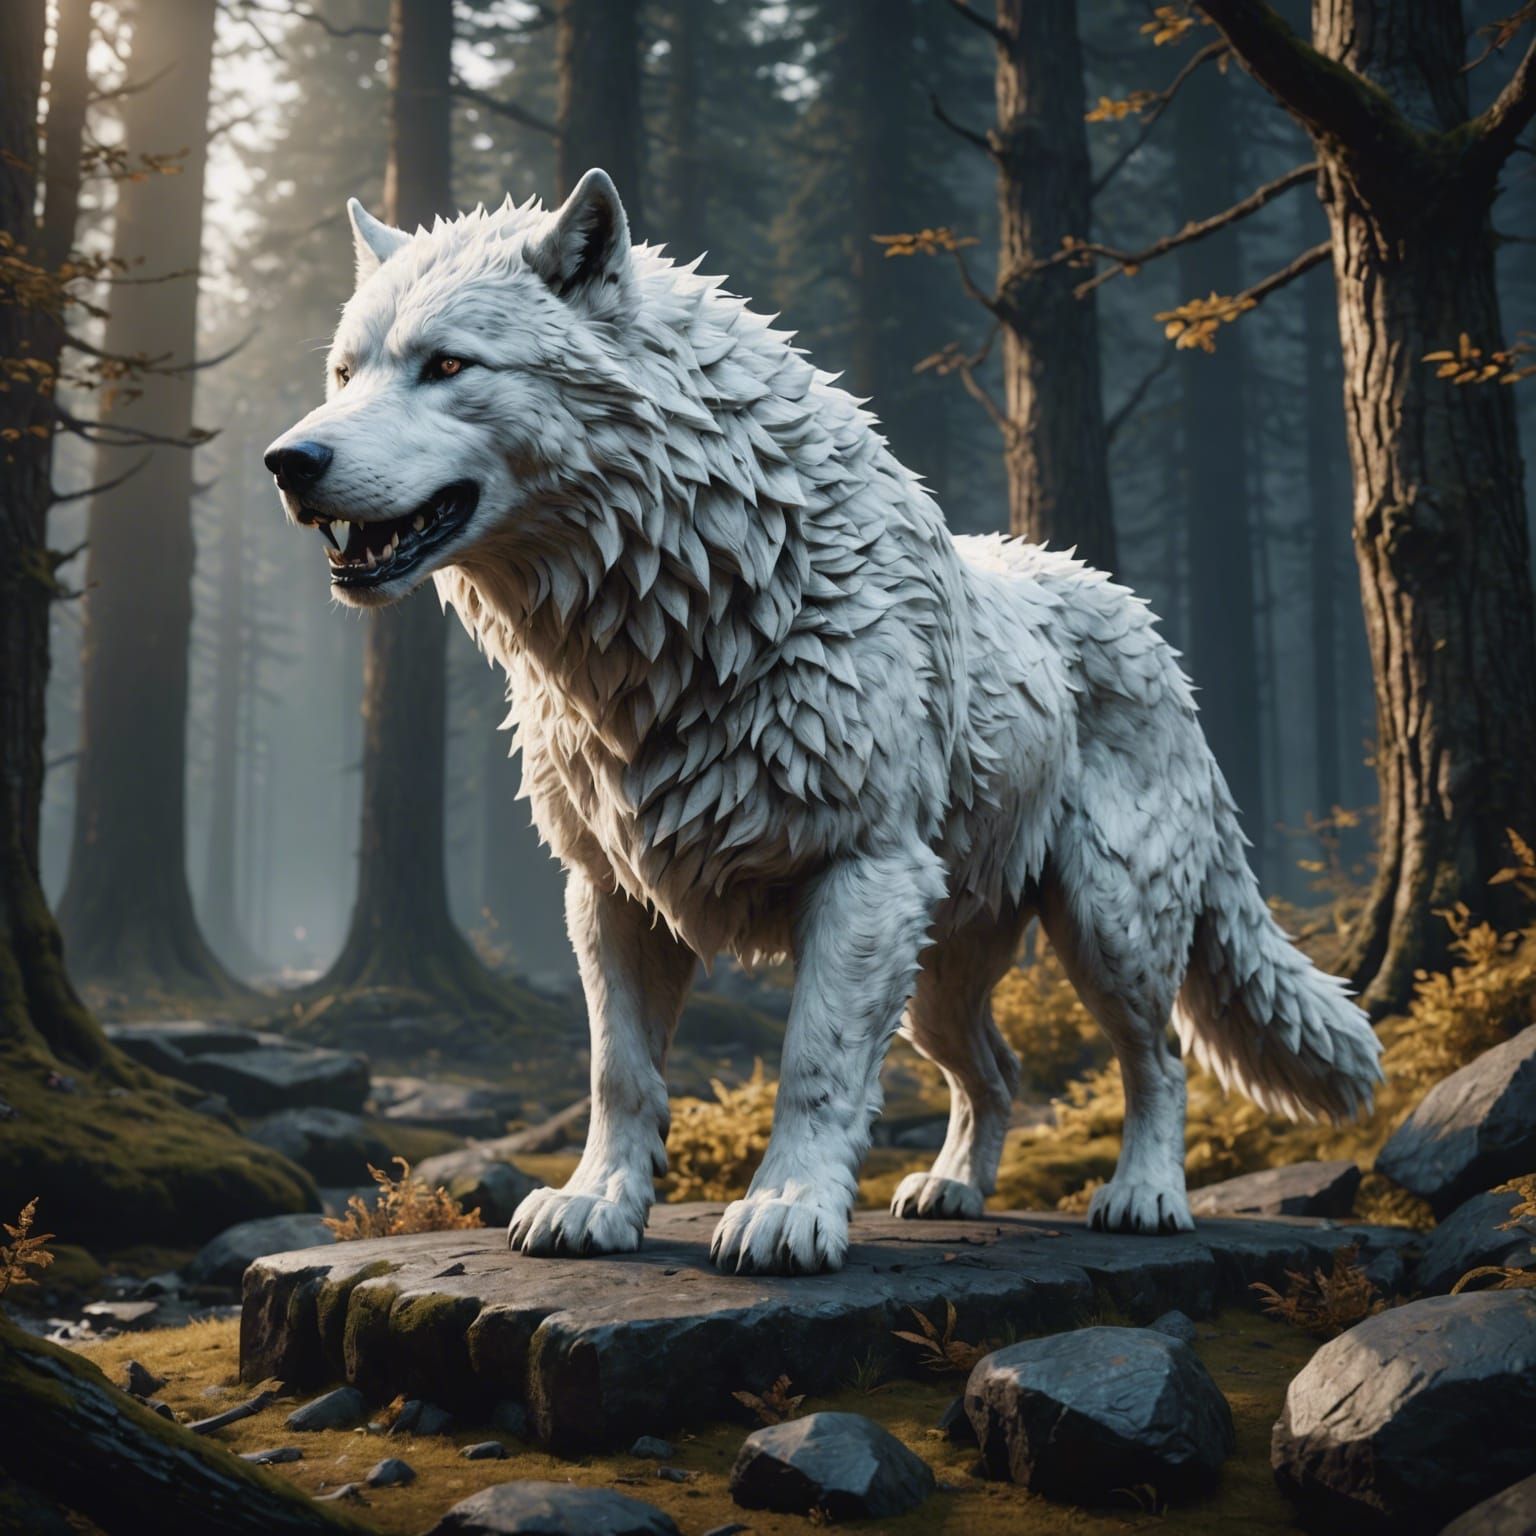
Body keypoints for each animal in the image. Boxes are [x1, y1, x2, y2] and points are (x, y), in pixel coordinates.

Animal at [264, 169, 1382, 1275]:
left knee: (1159, 1060)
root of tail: (1150, 630)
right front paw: (597, 1204)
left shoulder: (862, 877)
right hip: (939, 969)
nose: (288, 461)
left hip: (1108, 925)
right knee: (999, 1069)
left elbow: (814, 1068)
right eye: (344, 372)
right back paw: (952, 1190)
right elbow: (618, 1074)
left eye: (447, 364)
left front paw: (784, 1212)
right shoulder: (610, 891)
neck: (683, 619)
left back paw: (1145, 1194)